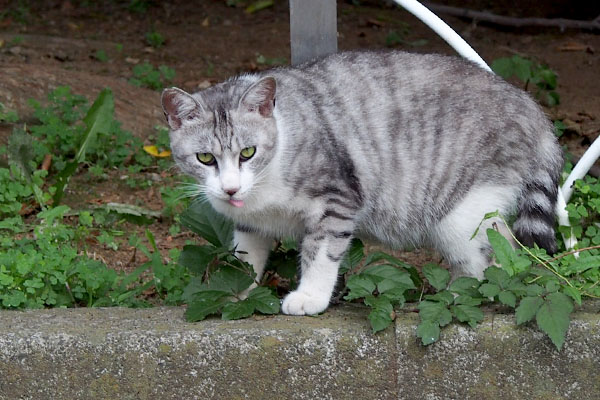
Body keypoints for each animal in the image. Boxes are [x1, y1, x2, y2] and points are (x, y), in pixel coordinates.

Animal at [161, 50, 564, 316]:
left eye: (248, 152)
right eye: (205, 158)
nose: (230, 189)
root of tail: (532, 107)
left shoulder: (337, 199)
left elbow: (320, 251)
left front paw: (310, 297)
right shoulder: (249, 223)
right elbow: (245, 258)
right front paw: (236, 294)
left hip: (463, 213)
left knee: (500, 258)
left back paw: (454, 299)